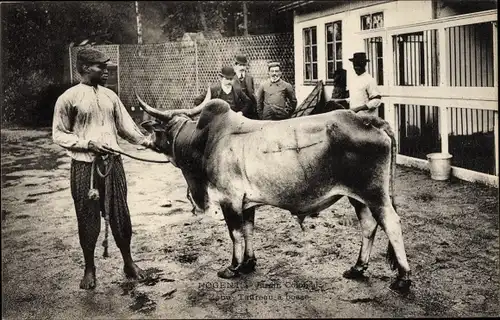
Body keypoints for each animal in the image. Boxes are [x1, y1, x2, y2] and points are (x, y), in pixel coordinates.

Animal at [138, 92, 414, 292]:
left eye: (158, 130)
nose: (145, 140)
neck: (204, 140)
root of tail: (368, 120)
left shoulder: (229, 200)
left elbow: (235, 234)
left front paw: (233, 267)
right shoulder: (246, 203)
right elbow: (248, 231)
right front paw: (248, 263)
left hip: (374, 193)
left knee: (391, 223)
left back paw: (402, 279)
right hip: (358, 197)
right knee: (368, 226)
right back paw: (357, 268)